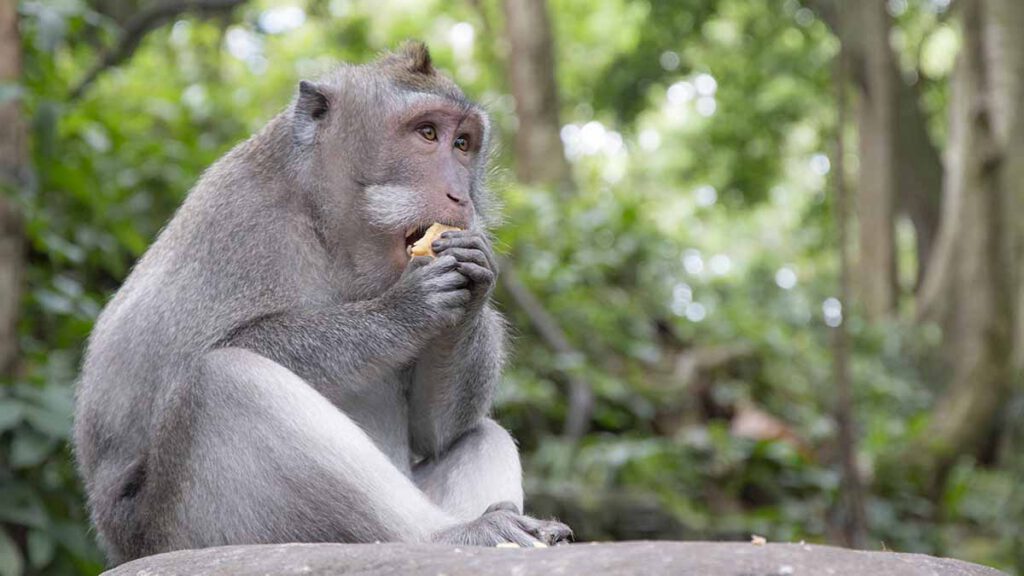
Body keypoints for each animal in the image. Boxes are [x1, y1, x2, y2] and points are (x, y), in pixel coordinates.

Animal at [72, 42, 573, 561]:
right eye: (427, 133)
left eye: (463, 143)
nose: (460, 196)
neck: (327, 226)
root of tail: (122, 547)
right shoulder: (239, 224)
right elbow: (192, 365)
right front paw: (406, 310)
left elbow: (433, 433)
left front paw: (475, 281)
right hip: (189, 529)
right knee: (223, 381)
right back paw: (450, 535)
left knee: (483, 435)